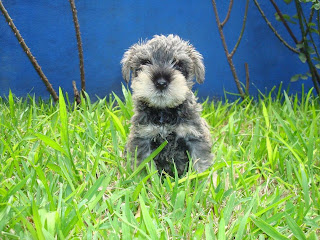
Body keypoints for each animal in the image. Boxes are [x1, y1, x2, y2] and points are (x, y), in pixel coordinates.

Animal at [121, 34, 214, 176]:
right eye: (145, 62)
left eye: (179, 64)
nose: (161, 83)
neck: (164, 113)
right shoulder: (142, 140)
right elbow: (145, 169)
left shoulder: (195, 137)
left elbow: (201, 164)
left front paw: (204, 180)